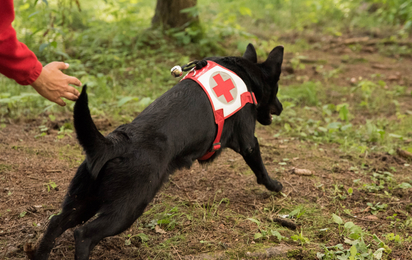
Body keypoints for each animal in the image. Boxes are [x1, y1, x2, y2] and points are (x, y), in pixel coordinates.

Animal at [29, 43, 284, 258]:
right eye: (277, 89)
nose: (281, 108)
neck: (243, 72)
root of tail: (115, 144)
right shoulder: (248, 141)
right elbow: (261, 169)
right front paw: (275, 186)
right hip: (127, 208)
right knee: (84, 235)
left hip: (84, 200)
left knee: (56, 222)